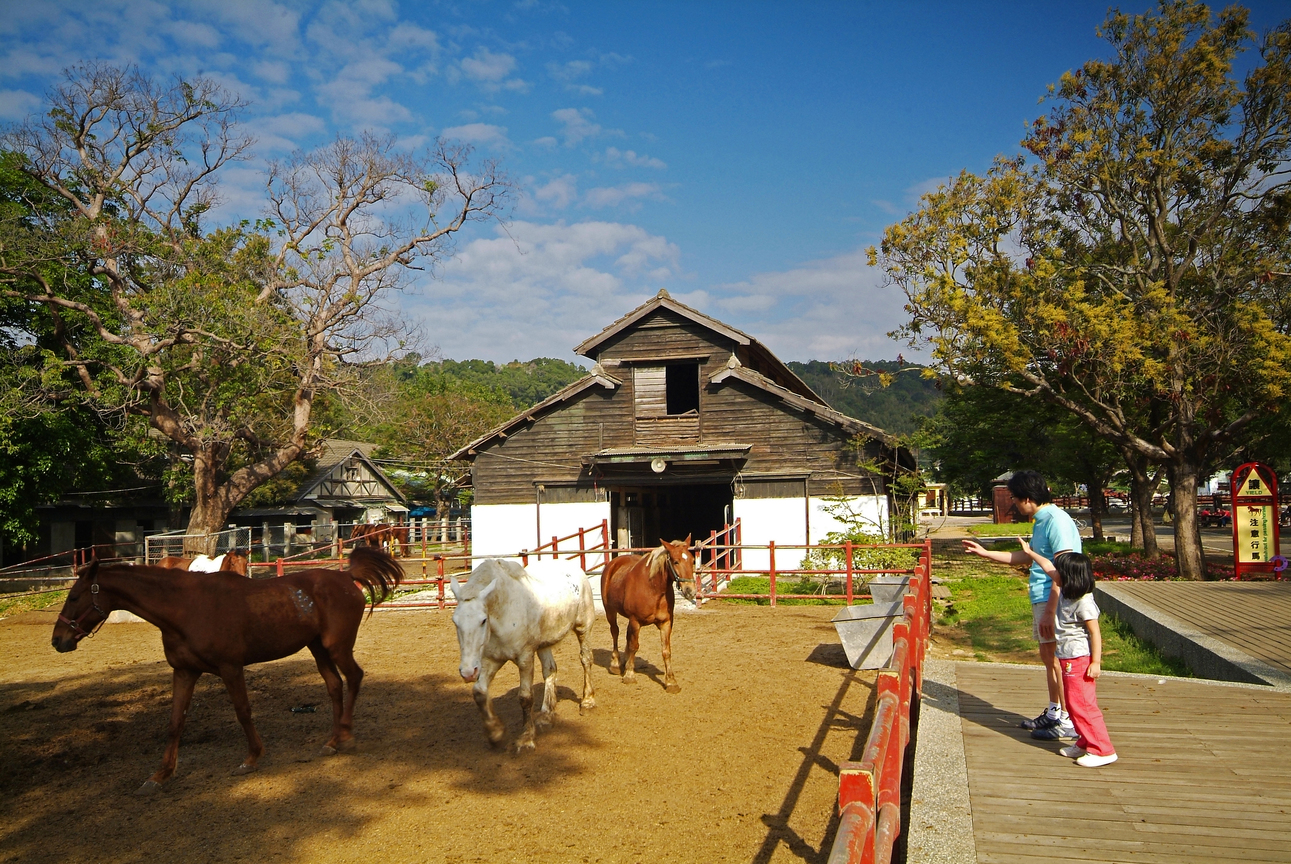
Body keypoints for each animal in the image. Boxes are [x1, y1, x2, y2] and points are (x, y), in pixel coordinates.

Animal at [51, 546, 403, 794]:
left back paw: (346, 735)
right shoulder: (184, 672)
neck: (185, 607)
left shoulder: (230, 668)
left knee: (353, 678)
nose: (58, 640)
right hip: (318, 648)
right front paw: (160, 775)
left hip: (336, 646)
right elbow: (175, 723)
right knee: (334, 685)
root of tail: (346, 577)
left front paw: (252, 758)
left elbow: (243, 711)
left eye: (74, 596)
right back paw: (331, 741)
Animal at [449, 557, 596, 752]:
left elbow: (525, 697)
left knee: (586, 659)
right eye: (455, 621)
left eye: (483, 620)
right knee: (550, 669)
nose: (467, 672)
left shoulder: (525, 658)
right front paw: (496, 734)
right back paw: (546, 715)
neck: (504, 611)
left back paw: (587, 701)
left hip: (583, 628)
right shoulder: (491, 660)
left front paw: (526, 739)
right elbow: (479, 692)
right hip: (543, 644)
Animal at [601, 536, 697, 693]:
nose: (690, 590)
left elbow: (666, 651)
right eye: (675, 561)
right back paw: (616, 664)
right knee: (615, 632)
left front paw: (671, 682)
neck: (653, 589)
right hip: (610, 610)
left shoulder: (666, 623)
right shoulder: (635, 621)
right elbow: (634, 646)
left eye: (692, 560)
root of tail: (613, 563)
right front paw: (629, 675)